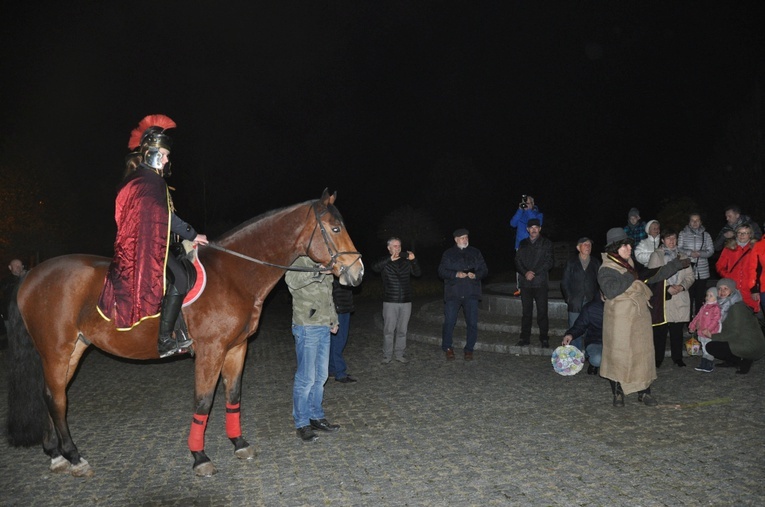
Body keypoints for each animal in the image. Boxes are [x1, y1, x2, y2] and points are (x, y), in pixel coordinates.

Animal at [5, 189, 364, 478]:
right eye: (335, 228)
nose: (357, 272)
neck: (232, 275)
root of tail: (30, 275)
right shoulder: (210, 351)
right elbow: (203, 402)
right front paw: (200, 456)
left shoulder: (237, 348)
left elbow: (233, 396)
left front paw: (239, 442)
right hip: (56, 350)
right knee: (57, 398)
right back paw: (74, 456)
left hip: (73, 349)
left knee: (52, 395)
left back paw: (56, 455)